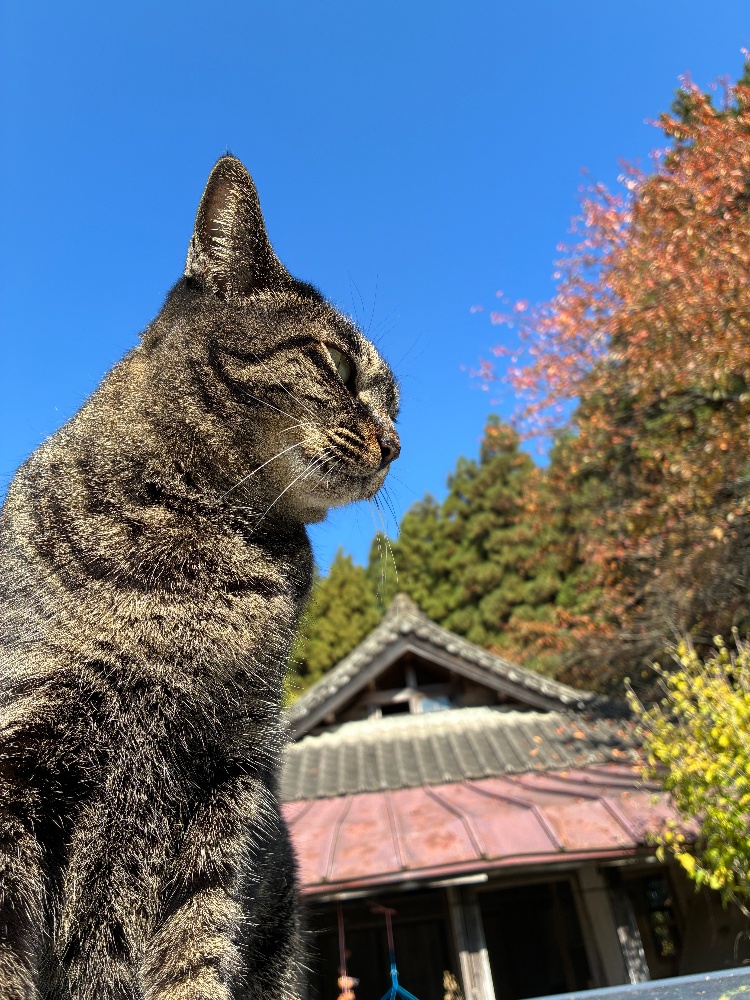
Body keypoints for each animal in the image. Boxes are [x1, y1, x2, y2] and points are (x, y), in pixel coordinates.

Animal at [0, 155, 400, 1000]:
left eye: (396, 402)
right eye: (337, 364)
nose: (395, 443)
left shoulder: (226, 786)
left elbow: (194, 953)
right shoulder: (20, 762)